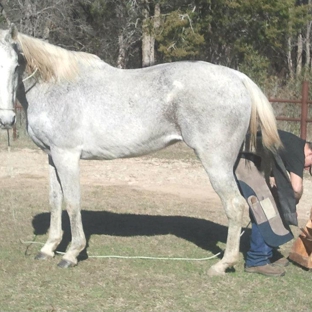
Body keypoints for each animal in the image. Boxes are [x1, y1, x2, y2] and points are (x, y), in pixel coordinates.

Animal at [0, 24, 280, 274]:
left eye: (16, 65)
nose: (6, 120)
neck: (56, 86)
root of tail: (237, 78)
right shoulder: (51, 156)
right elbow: (55, 200)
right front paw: (48, 248)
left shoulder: (66, 155)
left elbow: (72, 201)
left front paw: (71, 253)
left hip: (216, 163)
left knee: (235, 205)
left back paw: (222, 265)